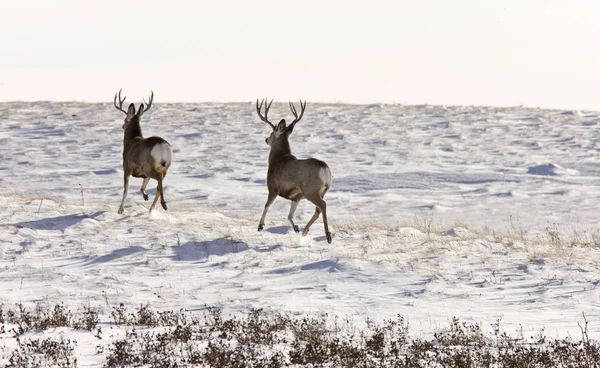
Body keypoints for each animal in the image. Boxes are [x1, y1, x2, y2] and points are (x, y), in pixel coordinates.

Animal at [254, 99, 332, 243]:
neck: (277, 160)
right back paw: (305, 230)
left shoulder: (273, 187)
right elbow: (289, 215)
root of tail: (324, 168)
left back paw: (328, 235)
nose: (266, 139)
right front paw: (296, 228)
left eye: (271, 134)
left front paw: (260, 226)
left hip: (310, 190)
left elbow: (267, 205)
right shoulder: (296, 196)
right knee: (318, 209)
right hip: (323, 190)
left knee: (322, 205)